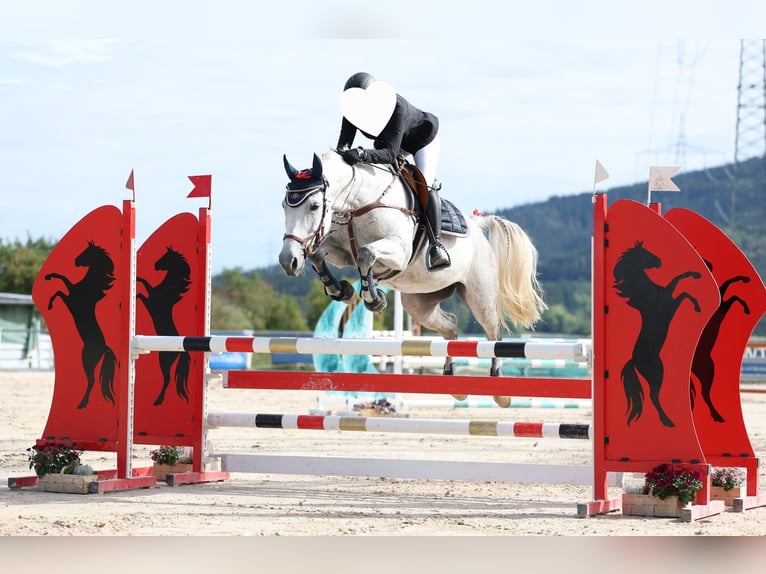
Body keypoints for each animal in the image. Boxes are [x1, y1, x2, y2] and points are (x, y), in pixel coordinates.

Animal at [45, 240, 117, 409]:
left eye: (86, 253)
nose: (75, 261)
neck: (89, 287)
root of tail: (104, 347)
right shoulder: (70, 291)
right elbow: (63, 279)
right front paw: (48, 276)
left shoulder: (70, 301)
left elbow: (58, 291)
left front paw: (50, 304)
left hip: (87, 360)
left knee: (91, 380)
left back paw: (82, 404)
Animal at [137, 246, 192, 406]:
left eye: (165, 258)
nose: (155, 265)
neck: (167, 289)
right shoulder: (150, 294)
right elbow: (145, 283)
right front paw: (136, 278)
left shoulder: (150, 302)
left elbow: (140, 294)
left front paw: (134, 293)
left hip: (164, 360)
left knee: (167, 379)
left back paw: (158, 400)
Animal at [278, 150, 547, 407]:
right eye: (284, 206)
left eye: (314, 206)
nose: (286, 261)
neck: (359, 202)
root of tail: (478, 229)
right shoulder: (340, 250)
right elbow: (317, 253)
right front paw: (340, 290)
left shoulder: (398, 252)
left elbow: (366, 254)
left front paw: (374, 299)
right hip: (419, 302)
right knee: (450, 325)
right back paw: (453, 381)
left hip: (480, 297)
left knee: (494, 335)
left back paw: (499, 391)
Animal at [613, 241, 702, 427]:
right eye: (646, 254)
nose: (659, 261)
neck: (645, 291)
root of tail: (634, 360)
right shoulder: (670, 306)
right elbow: (684, 293)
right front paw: (697, 306)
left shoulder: (668, 294)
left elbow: (677, 280)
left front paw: (696, 275)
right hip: (657, 372)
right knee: (653, 396)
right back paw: (668, 421)